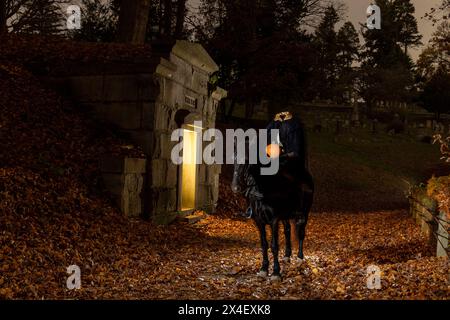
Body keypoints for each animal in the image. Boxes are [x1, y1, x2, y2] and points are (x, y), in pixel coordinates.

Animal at [232, 135, 312, 280]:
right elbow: (264, 244)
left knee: (301, 233)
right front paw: (264, 269)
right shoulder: (259, 221)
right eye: (233, 158)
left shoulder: (274, 220)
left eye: (246, 160)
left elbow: (274, 245)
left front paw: (275, 272)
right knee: (287, 230)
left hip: (304, 212)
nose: (235, 187)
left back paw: (299, 258)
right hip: (286, 215)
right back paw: (287, 255)